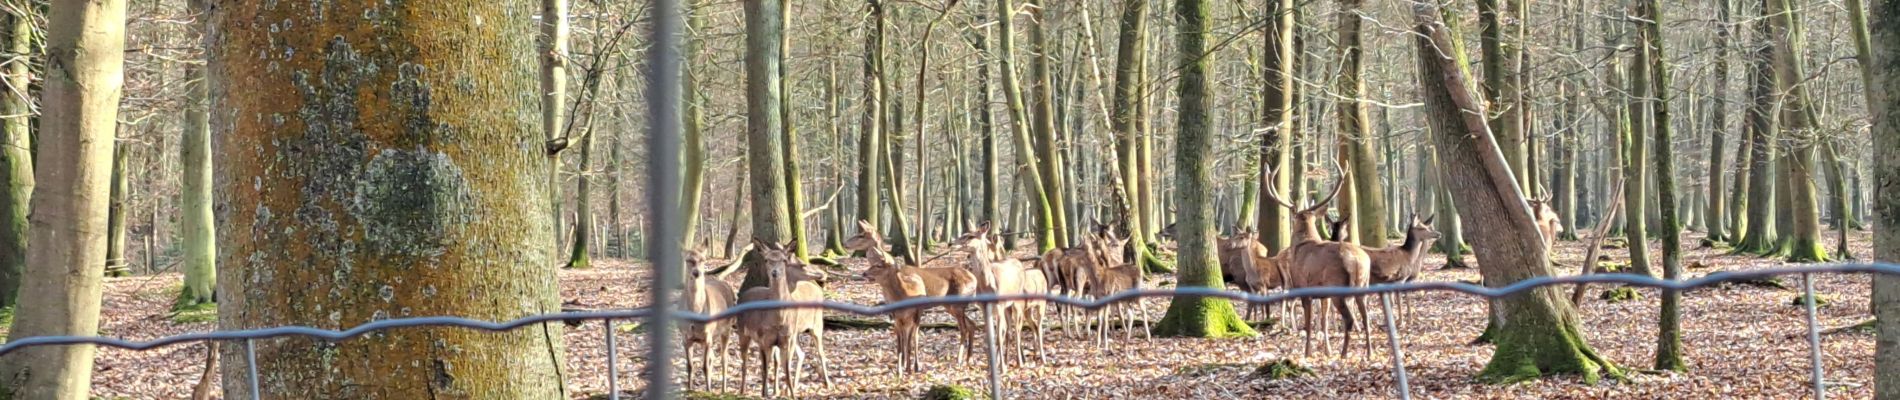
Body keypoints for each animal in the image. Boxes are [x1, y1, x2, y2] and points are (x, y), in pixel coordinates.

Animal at [684, 250, 741, 390]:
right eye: (688, 260)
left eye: (703, 259)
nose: (696, 272)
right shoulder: (686, 337)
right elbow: (690, 366)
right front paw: (690, 389)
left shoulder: (707, 336)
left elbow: (705, 366)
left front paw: (708, 390)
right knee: (713, 358)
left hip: (726, 329)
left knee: (724, 359)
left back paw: (723, 389)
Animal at [733, 238, 832, 398]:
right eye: (766, 260)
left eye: (784, 260)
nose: (775, 272)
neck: (778, 319)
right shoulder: (765, 339)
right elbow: (768, 366)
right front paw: (769, 392)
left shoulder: (787, 338)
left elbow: (785, 366)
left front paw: (788, 393)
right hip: (743, 332)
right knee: (745, 361)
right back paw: (742, 391)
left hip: (817, 324)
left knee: (819, 352)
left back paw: (828, 384)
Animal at [843, 218, 980, 371]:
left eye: (861, 235)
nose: (845, 243)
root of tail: (974, 279)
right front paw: (903, 363)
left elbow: (913, 335)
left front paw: (912, 364)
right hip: (950, 306)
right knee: (972, 324)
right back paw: (969, 359)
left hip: (958, 303)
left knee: (964, 328)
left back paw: (959, 360)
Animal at [1261, 166, 1383, 360]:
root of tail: (1356, 262)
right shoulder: (1323, 294)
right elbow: (1324, 321)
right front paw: (1327, 350)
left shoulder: (1304, 287)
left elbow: (1309, 323)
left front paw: (1307, 352)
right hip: (1362, 285)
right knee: (1366, 318)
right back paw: (1369, 353)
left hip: (1337, 287)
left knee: (1349, 319)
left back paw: (1344, 353)